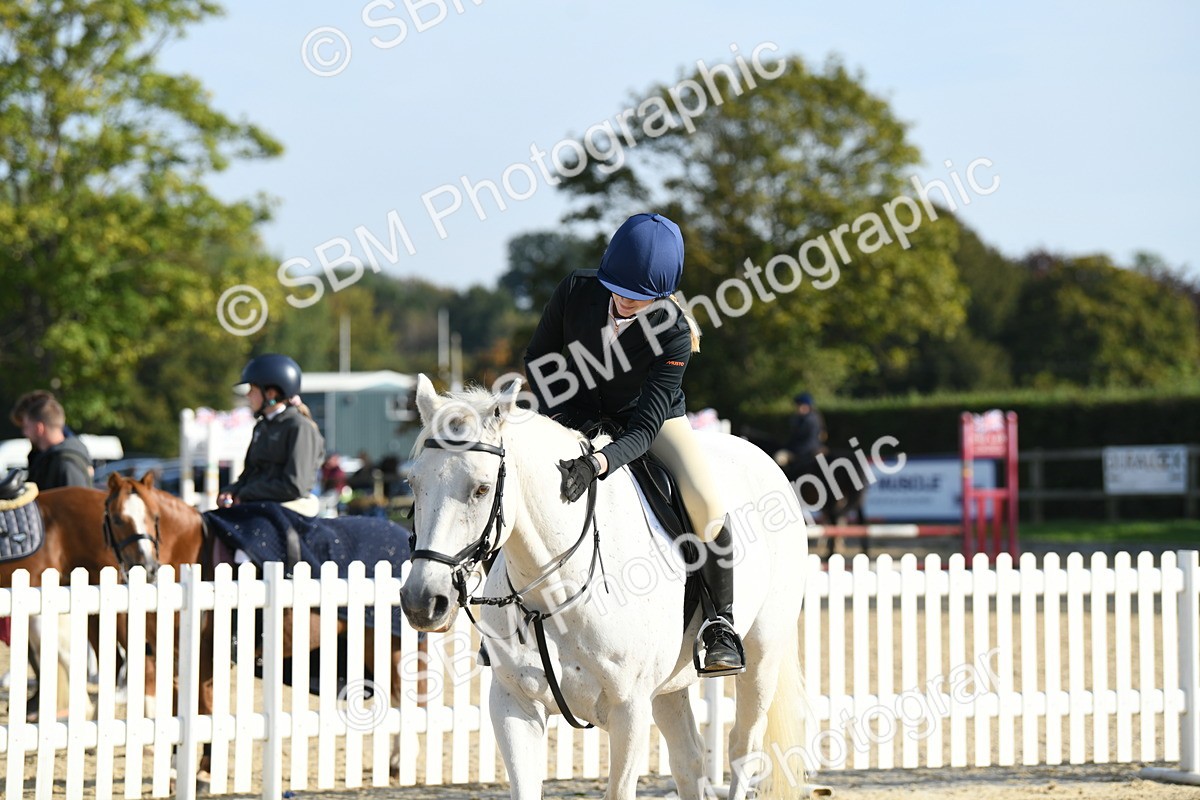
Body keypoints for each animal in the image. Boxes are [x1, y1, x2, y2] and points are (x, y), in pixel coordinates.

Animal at [101, 471, 410, 781]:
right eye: (116, 519)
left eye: (154, 516)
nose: (147, 568)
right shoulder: (175, 656)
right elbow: (180, 705)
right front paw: (177, 767)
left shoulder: (206, 656)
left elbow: (206, 705)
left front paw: (205, 770)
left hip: (386, 643)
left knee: (402, 696)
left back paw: (398, 762)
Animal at [400, 375, 823, 800]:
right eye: (413, 483)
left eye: (482, 489)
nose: (422, 601)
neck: (555, 593)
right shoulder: (513, 704)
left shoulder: (629, 711)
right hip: (669, 687)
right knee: (688, 760)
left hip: (762, 657)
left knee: (742, 748)